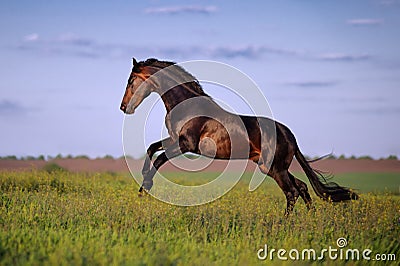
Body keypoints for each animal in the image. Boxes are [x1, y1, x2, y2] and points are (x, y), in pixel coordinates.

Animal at [120, 57, 358, 215]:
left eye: (131, 81)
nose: (124, 107)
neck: (188, 106)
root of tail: (288, 134)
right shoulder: (174, 140)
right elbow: (152, 148)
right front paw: (143, 183)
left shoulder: (186, 145)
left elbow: (159, 159)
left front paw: (145, 188)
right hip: (273, 166)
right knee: (302, 187)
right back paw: (310, 219)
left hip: (273, 168)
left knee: (292, 191)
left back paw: (285, 224)